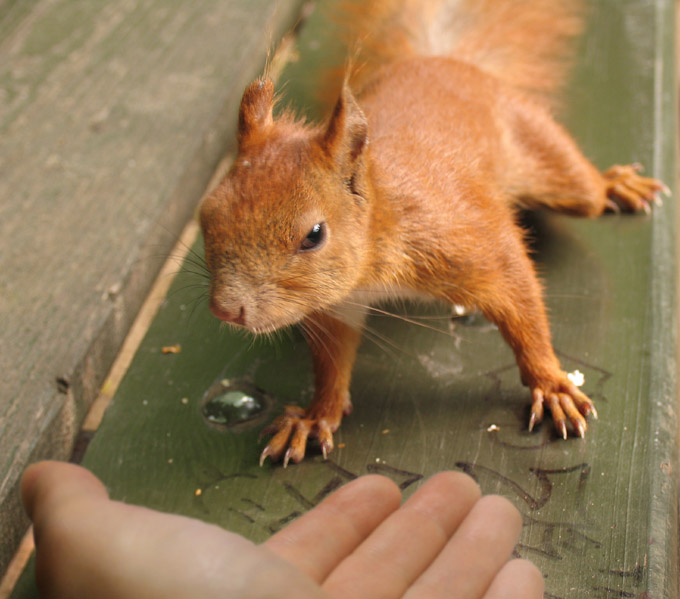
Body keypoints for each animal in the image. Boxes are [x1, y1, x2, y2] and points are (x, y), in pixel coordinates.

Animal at [197, 0, 664, 468]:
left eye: (313, 234)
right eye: (207, 214)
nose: (227, 310)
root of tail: (443, 61)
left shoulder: (469, 241)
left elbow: (522, 305)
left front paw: (550, 384)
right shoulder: (337, 304)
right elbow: (332, 363)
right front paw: (315, 416)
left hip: (546, 154)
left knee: (586, 190)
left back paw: (616, 184)